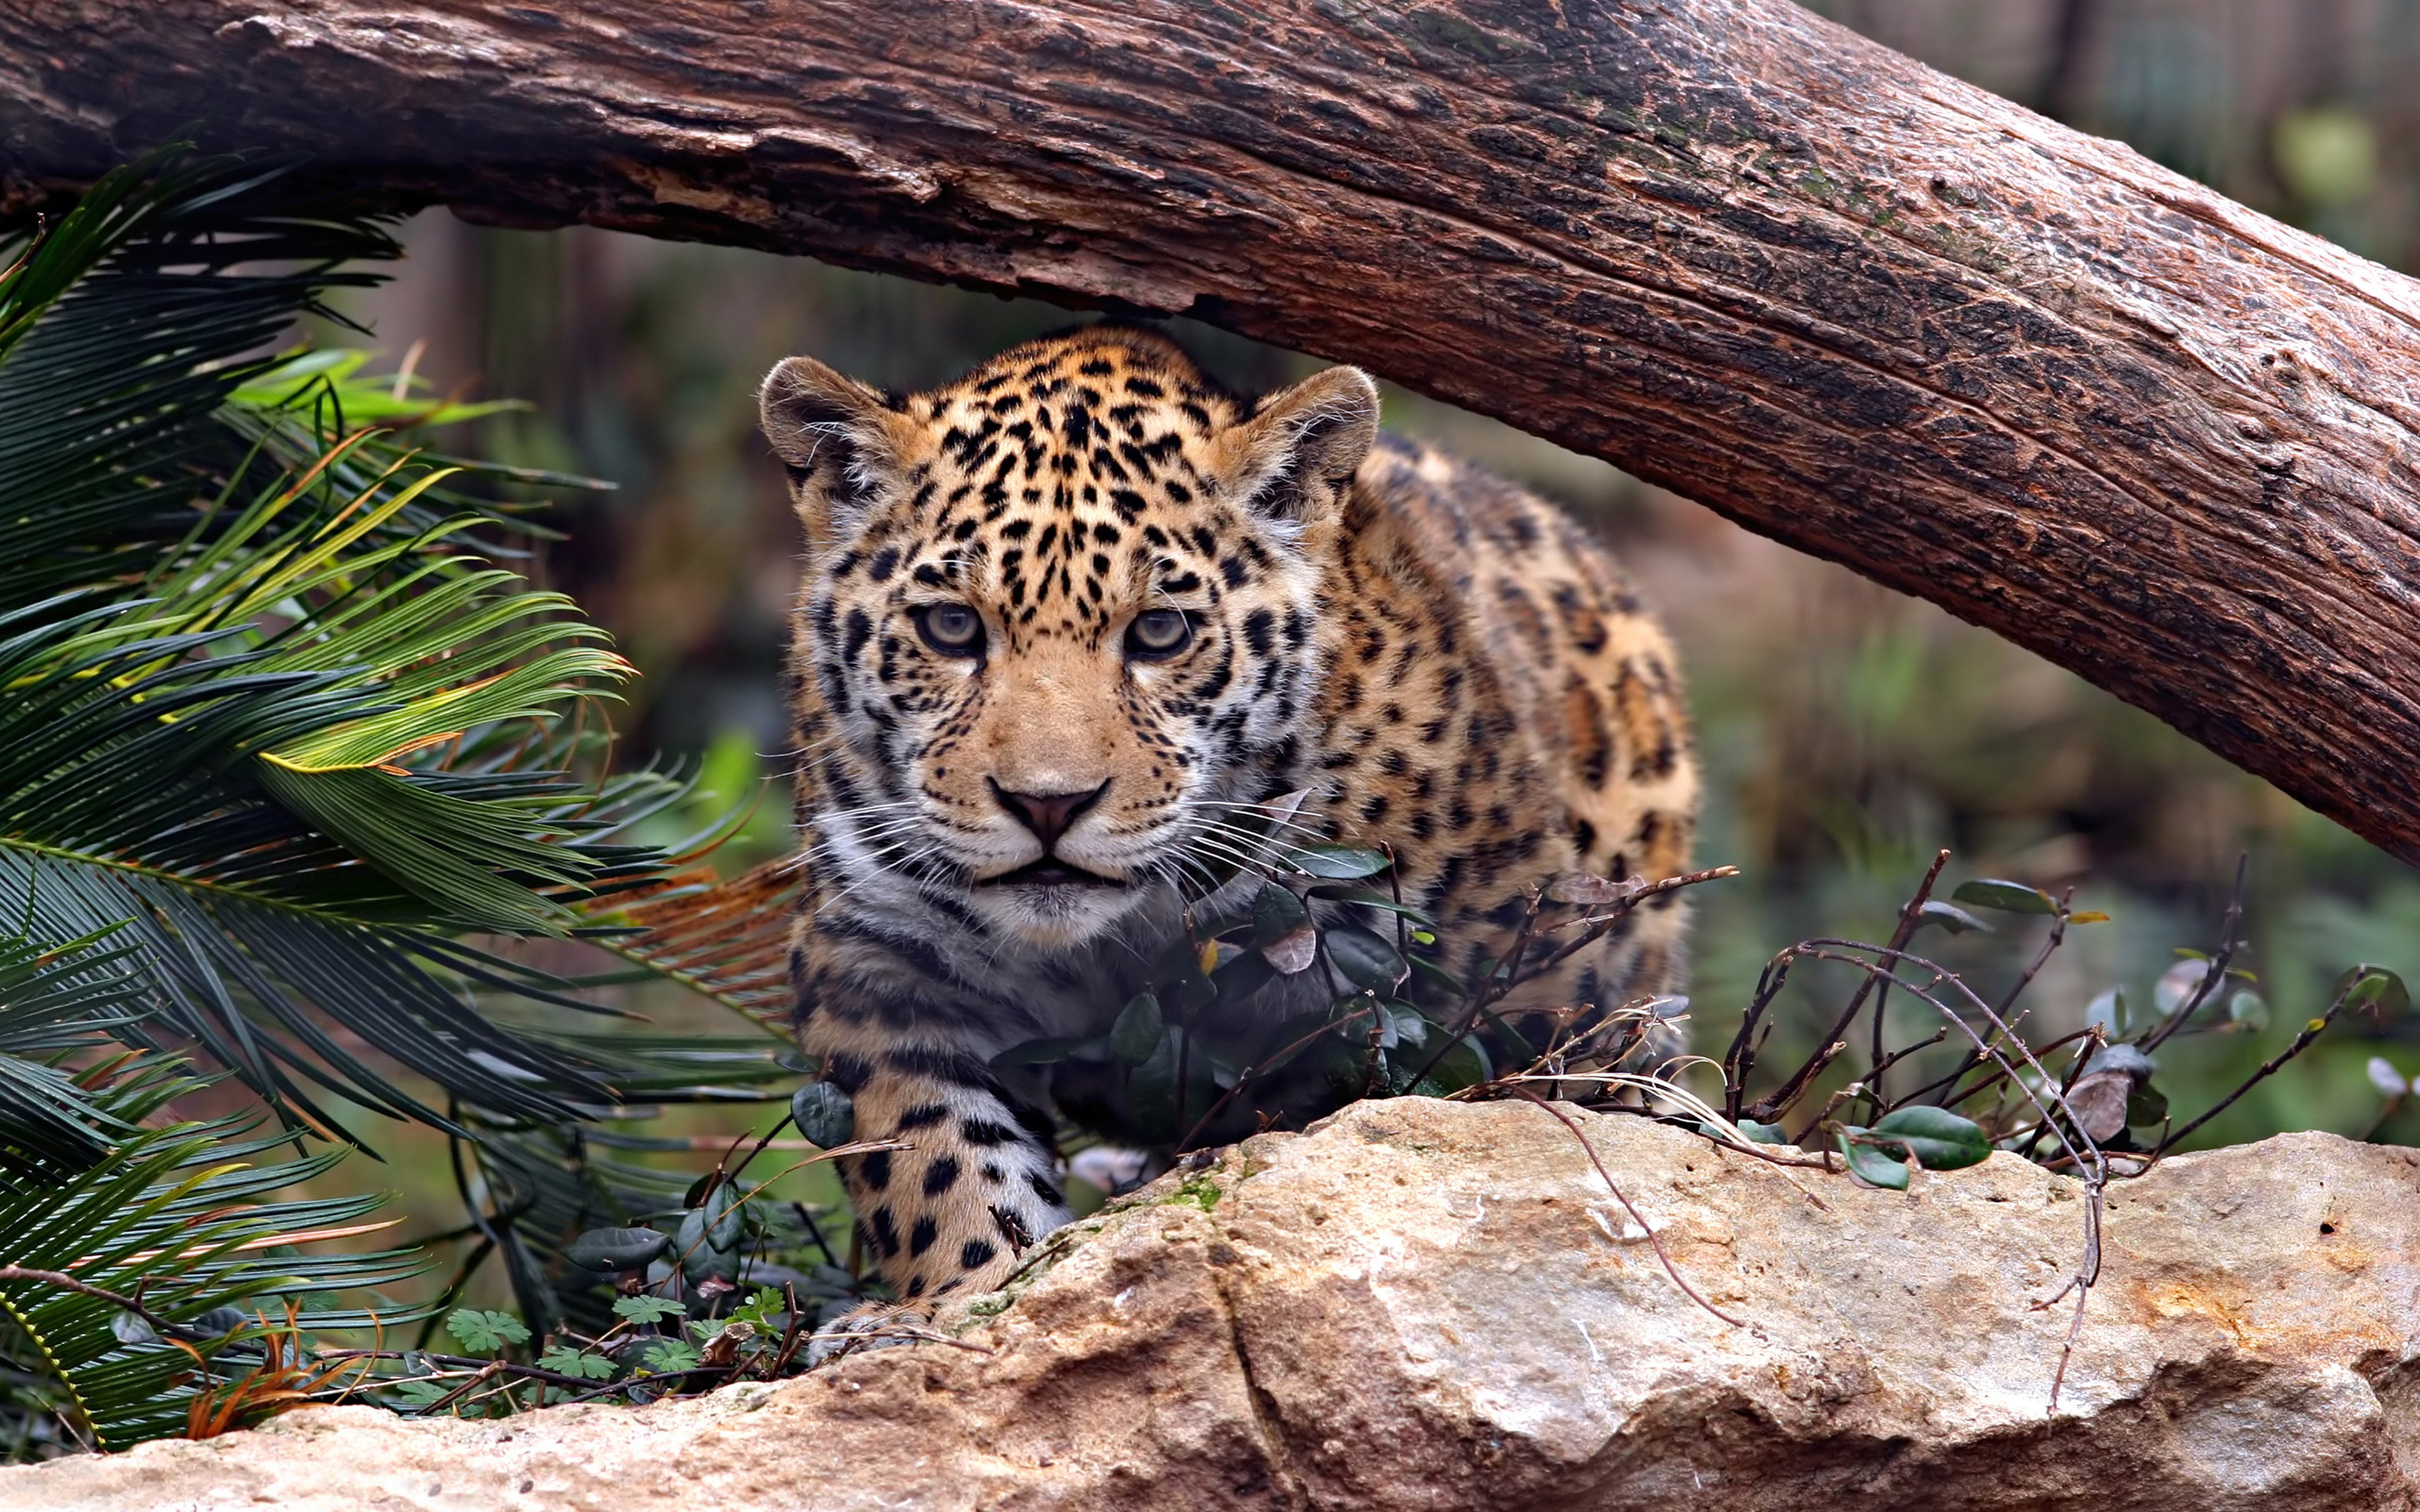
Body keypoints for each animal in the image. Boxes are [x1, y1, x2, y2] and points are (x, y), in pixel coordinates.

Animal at [757, 325, 1696, 1318]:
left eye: (1161, 633)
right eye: (949, 628)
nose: (1048, 803)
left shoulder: (1518, 983)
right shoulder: (877, 962)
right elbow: (933, 1163)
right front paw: (968, 1298)